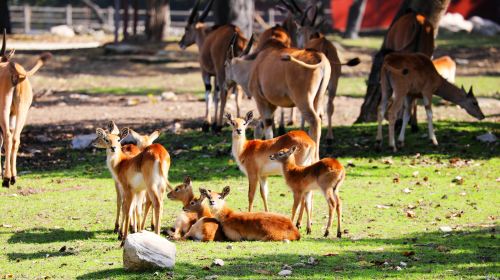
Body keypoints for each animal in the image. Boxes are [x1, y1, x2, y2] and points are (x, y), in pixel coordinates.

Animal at [0, 31, 51, 188]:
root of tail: (15, 70)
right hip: (22, 111)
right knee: (15, 138)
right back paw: (13, 177)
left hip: (4, 110)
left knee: (8, 137)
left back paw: (6, 179)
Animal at [180, 0, 248, 132]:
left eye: (186, 28)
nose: (181, 43)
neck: (206, 37)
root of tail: (236, 33)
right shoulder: (216, 75)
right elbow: (216, 95)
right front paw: (214, 121)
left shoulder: (206, 72)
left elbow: (209, 94)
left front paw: (207, 124)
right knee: (237, 91)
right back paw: (239, 120)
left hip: (221, 70)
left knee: (224, 92)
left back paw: (218, 126)